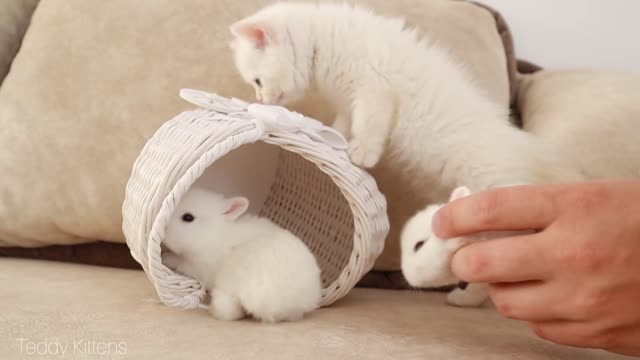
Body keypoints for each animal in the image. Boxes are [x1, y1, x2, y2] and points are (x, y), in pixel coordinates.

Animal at [160, 188, 320, 324]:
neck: (215, 234)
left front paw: (164, 256)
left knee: (227, 311)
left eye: (188, 217)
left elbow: (178, 261)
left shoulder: (198, 267)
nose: (164, 231)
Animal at [229, 2, 580, 197]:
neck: (323, 41)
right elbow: (345, 121)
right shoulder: (348, 98)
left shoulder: (376, 89)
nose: (261, 97)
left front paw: (363, 152)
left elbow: (369, 123)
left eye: (257, 81)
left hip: (493, 183)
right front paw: (335, 138)